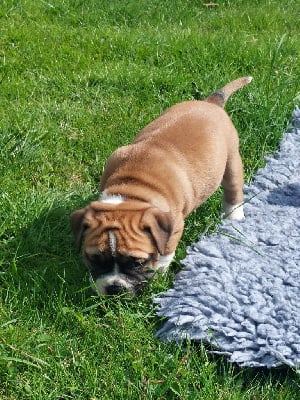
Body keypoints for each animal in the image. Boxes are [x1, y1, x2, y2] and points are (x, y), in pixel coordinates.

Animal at [71, 76, 252, 294]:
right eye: (95, 260)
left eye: (137, 263)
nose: (115, 288)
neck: (131, 189)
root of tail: (211, 103)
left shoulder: (174, 228)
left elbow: (164, 252)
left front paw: (157, 275)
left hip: (232, 161)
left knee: (233, 191)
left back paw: (234, 217)